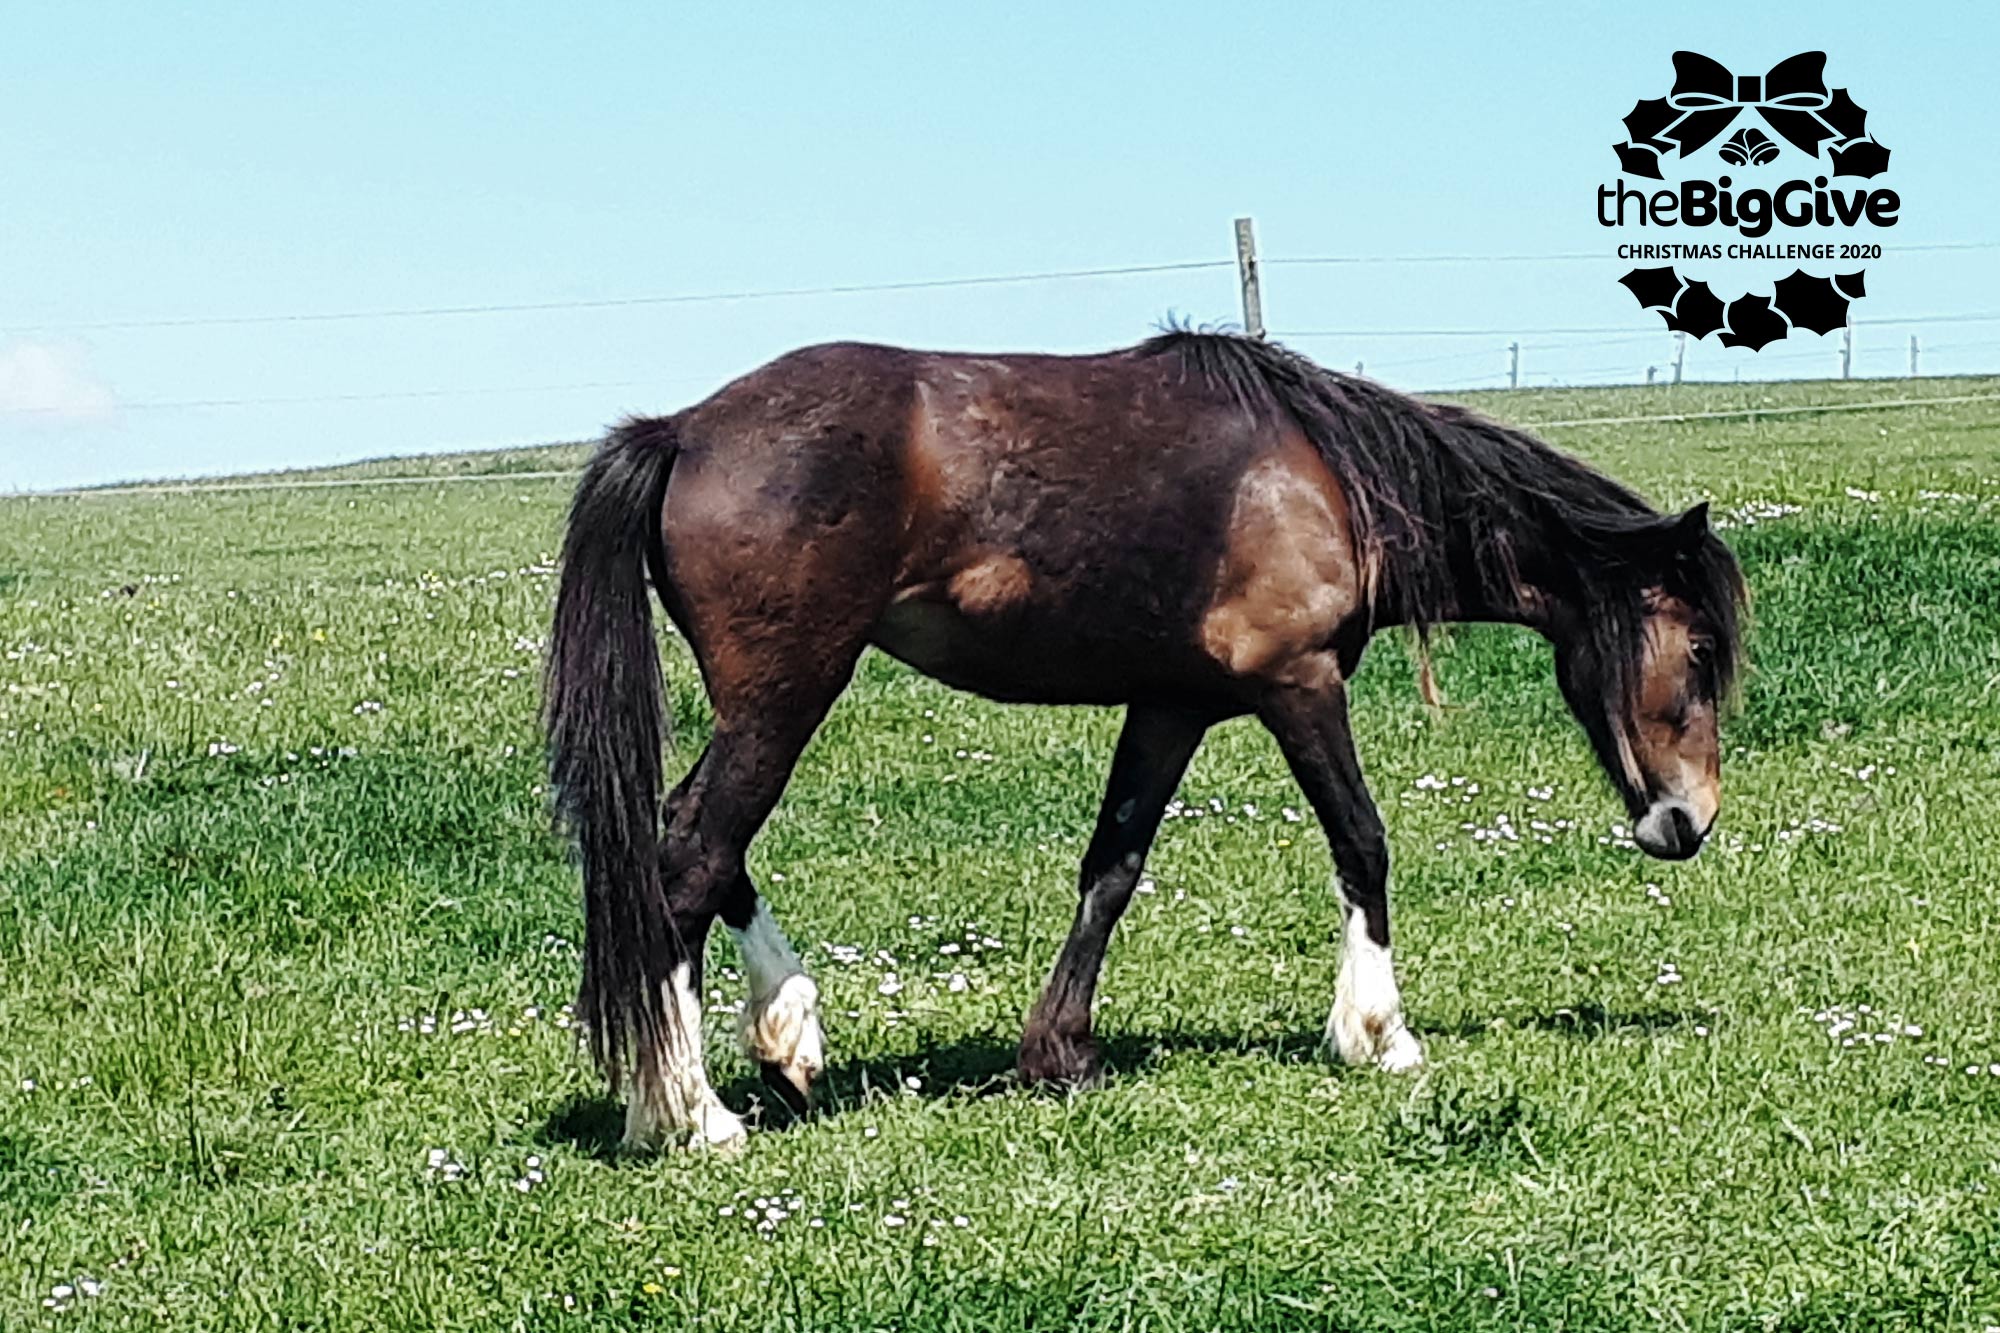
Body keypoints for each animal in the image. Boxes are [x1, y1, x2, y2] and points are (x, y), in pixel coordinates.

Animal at [540, 330, 1744, 1144]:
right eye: (1695, 652)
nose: (1687, 820)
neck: (1327, 477)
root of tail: (681, 432)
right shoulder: (1299, 687)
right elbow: (1362, 843)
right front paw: (1379, 1033)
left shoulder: (1170, 707)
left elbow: (1111, 867)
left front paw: (1058, 1050)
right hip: (787, 694)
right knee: (690, 855)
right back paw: (690, 1111)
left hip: (768, 701)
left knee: (695, 850)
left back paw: (784, 1033)